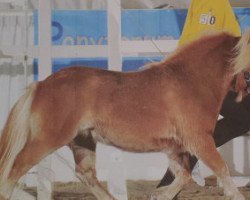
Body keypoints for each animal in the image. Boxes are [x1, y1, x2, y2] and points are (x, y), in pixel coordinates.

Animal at [0, 31, 250, 200]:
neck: (191, 82)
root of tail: (41, 84)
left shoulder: (175, 147)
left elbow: (184, 175)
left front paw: (160, 194)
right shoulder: (200, 139)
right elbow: (221, 168)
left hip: (83, 141)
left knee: (86, 174)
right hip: (48, 139)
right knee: (16, 167)